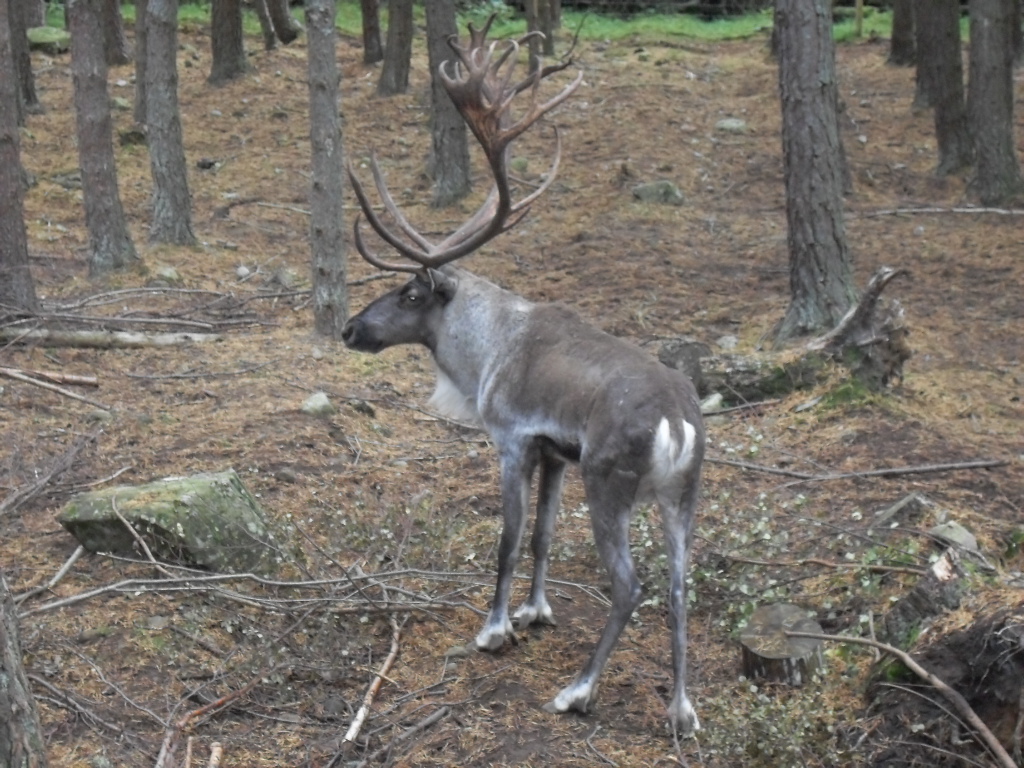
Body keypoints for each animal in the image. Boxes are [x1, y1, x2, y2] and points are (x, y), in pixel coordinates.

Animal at [341, 20, 706, 738]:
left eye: (407, 292)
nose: (349, 329)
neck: (483, 354)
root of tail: (678, 420)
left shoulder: (511, 439)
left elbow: (508, 540)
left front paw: (496, 628)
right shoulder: (556, 453)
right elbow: (541, 536)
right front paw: (536, 612)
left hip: (611, 481)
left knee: (632, 585)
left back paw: (578, 691)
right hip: (682, 493)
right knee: (681, 585)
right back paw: (681, 706)